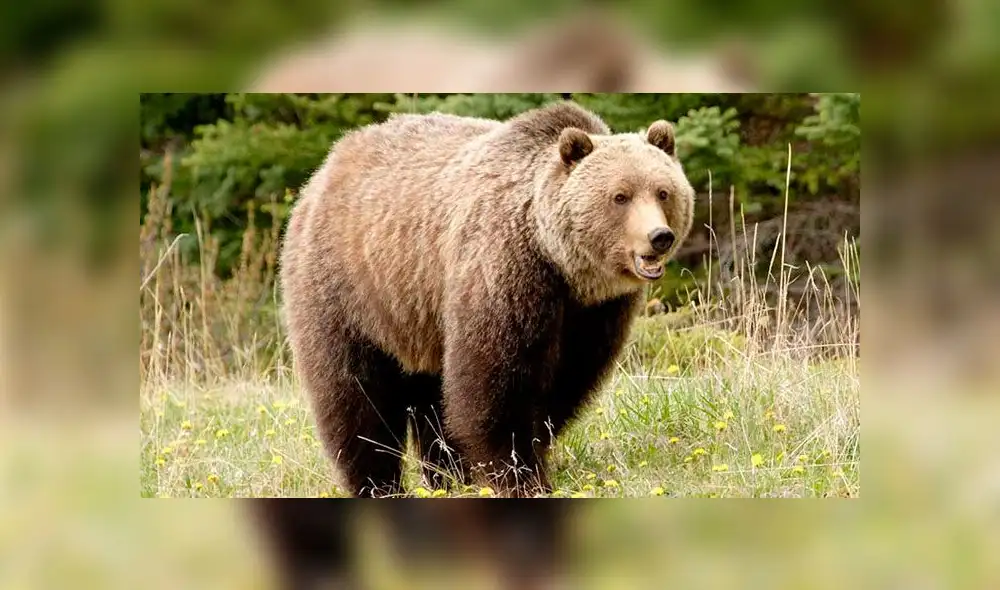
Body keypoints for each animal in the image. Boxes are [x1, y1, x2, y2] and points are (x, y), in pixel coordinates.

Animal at [279, 101, 694, 498]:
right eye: (620, 196)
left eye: (663, 191)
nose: (659, 237)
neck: (560, 262)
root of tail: (324, 169)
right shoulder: (503, 269)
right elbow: (496, 382)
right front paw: (520, 477)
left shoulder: (593, 311)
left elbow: (567, 381)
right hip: (349, 288)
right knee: (355, 392)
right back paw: (379, 484)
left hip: (419, 314)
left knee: (432, 394)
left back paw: (447, 476)